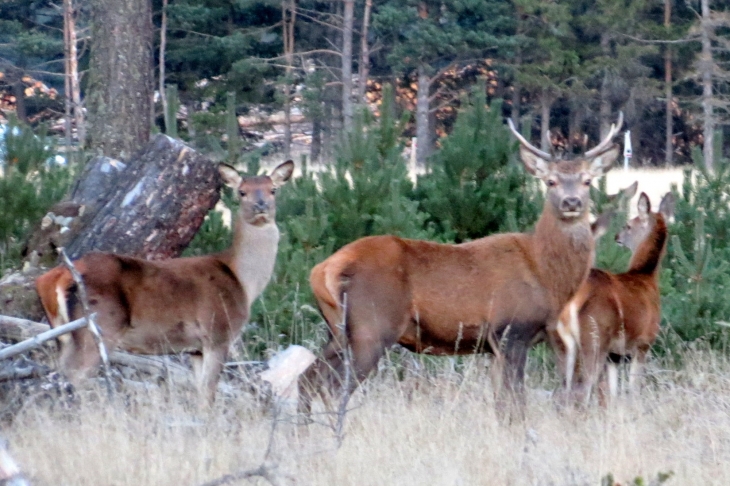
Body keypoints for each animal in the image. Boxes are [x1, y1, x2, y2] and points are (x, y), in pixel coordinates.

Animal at [35, 159, 292, 402]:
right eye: (242, 192)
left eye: (273, 189)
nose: (261, 205)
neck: (242, 280)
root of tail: (55, 276)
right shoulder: (218, 333)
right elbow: (209, 396)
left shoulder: (195, 349)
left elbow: (200, 393)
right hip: (100, 325)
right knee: (75, 375)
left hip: (64, 334)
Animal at [298, 115, 624, 414]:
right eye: (550, 181)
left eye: (587, 180)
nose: (571, 202)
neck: (546, 275)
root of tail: (322, 270)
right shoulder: (511, 329)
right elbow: (516, 403)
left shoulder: (494, 345)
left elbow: (501, 404)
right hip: (372, 325)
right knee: (333, 386)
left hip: (337, 330)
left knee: (307, 380)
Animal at [556, 192, 672, 404]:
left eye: (628, 225)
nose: (617, 237)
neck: (645, 276)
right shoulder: (643, 343)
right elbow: (633, 390)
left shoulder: (614, 356)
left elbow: (613, 394)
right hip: (595, 337)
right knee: (582, 390)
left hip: (565, 342)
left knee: (564, 390)